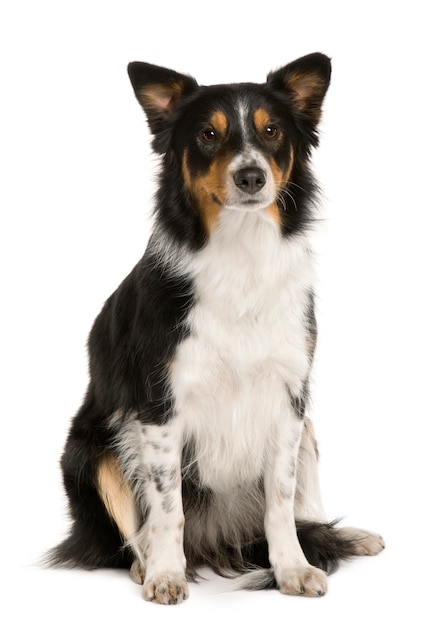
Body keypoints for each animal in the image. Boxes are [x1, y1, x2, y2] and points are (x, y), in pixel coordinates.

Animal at [49, 54, 384, 604]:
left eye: (271, 131)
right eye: (208, 134)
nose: (250, 176)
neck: (240, 251)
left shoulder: (289, 397)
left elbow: (281, 501)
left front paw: (293, 568)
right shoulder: (160, 404)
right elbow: (168, 507)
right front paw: (166, 574)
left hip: (309, 430)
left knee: (301, 513)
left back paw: (349, 536)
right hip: (93, 448)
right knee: (125, 534)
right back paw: (146, 565)